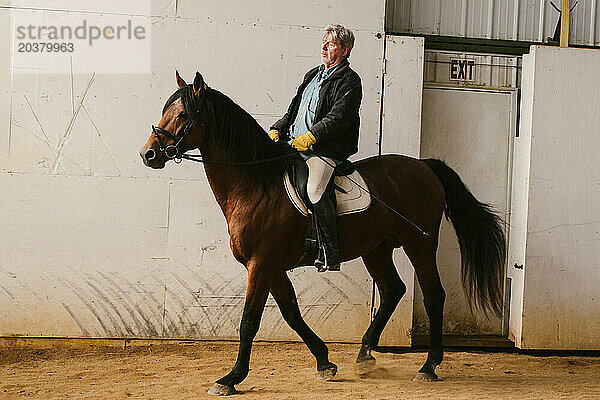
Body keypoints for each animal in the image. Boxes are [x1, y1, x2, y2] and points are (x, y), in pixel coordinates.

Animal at [141, 71, 506, 394]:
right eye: (165, 110)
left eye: (183, 114)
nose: (148, 154)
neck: (256, 184)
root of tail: (424, 166)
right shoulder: (271, 267)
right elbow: (291, 312)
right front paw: (325, 362)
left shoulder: (261, 263)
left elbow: (249, 320)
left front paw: (231, 378)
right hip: (376, 248)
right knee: (393, 290)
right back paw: (365, 356)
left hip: (420, 245)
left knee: (432, 295)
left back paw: (429, 366)